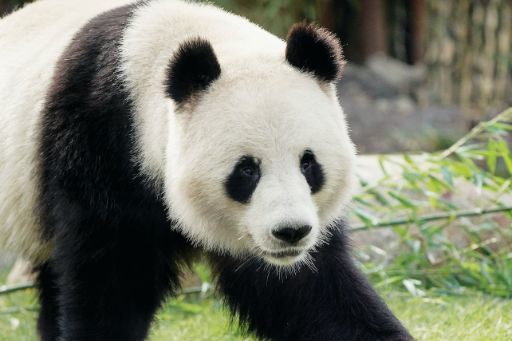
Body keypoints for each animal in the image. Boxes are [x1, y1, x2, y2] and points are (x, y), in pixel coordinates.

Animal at [0, 0, 410, 340]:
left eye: (308, 163)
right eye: (247, 170)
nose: (290, 232)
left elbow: (311, 294)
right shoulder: (99, 145)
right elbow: (111, 280)